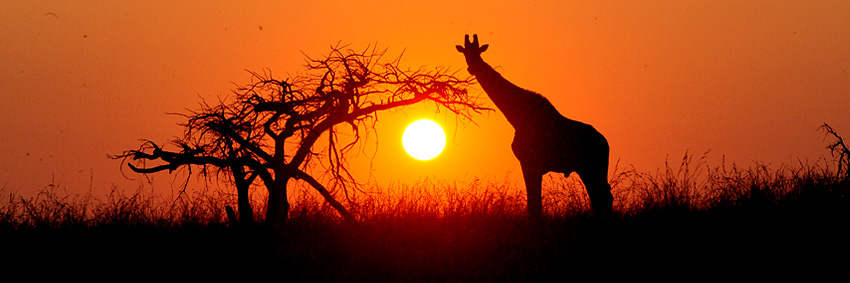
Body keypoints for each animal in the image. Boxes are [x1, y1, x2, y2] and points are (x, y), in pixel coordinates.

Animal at [454, 33, 612, 220]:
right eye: (465, 53)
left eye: (478, 52)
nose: (473, 67)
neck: (516, 117)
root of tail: (605, 143)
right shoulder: (532, 165)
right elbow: (534, 204)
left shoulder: (530, 162)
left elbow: (534, 205)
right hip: (589, 168)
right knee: (600, 195)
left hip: (592, 166)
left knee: (602, 196)